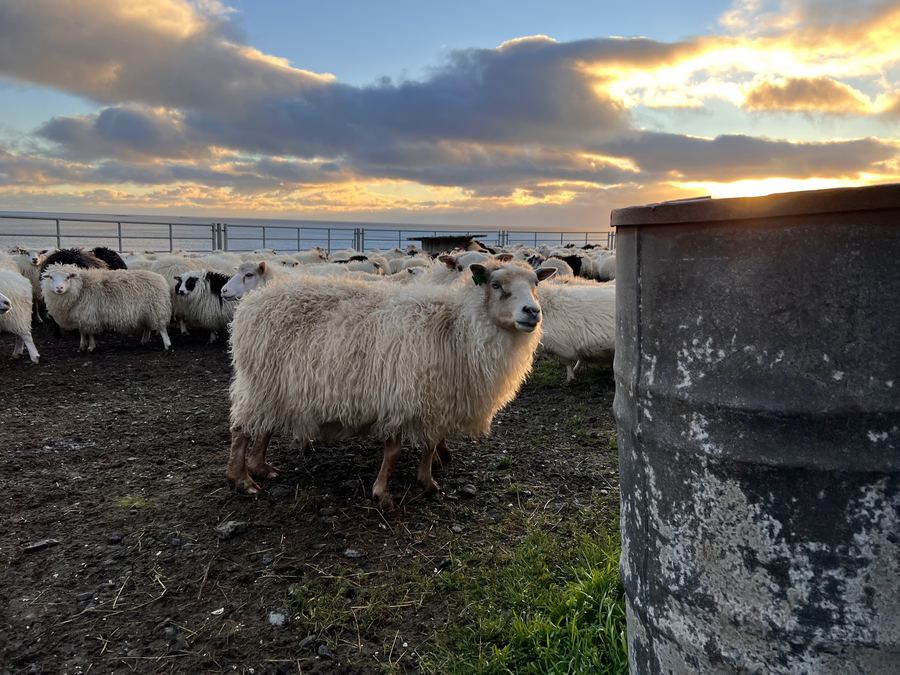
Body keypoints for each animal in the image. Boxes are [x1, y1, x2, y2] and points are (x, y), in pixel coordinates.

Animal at [41, 264, 172, 352]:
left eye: (68, 277)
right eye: (51, 277)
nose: (59, 288)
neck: (81, 288)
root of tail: (161, 279)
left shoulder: (89, 315)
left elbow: (90, 333)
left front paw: (91, 347)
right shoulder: (80, 316)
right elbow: (82, 332)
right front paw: (82, 346)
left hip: (157, 309)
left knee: (162, 328)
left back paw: (167, 345)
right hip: (146, 312)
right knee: (147, 327)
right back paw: (143, 341)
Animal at [226, 261, 557, 506]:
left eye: (535, 285)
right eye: (496, 285)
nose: (532, 312)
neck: (456, 326)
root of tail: (252, 304)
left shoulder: (435, 401)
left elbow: (430, 445)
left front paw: (428, 481)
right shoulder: (402, 395)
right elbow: (394, 451)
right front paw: (383, 493)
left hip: (273, 388)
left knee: (264, 429)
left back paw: (261, 469)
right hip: (259, 384)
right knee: (241, 431)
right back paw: (243, 480)